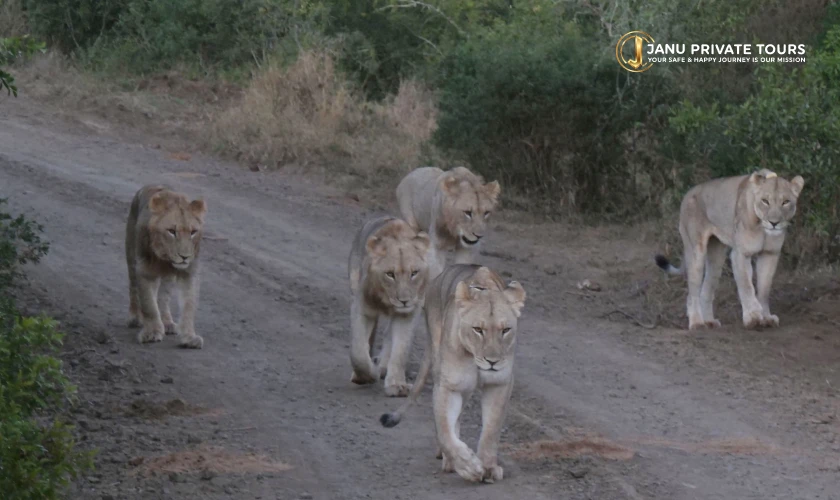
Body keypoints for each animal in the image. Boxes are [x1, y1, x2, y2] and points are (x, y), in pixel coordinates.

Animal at [125, 184, 207, 349]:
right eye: (172, 231)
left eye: (193, 232)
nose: (184, 257)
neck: (165, 260)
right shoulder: (144, 271)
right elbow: (149, 305)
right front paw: (152, 332)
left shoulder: (189, 274)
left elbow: (189, 306)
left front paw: (189, 337)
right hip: (131, 257)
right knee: (133, 288)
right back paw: (135, 317)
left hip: (168, 278)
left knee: (163, 298)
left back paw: (167, 322)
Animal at [348, 215, 432, 397]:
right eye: (390, 274)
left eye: (414, 273)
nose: (404, 300)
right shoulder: (362, 307)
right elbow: (358, 350)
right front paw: (365, 375)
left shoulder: (408, 314)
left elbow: (400, 350)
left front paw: (397, 385)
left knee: (388, 336)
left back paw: (383, 366)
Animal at [379, 264, 526, 484]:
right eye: (478, 329)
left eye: (506, 330)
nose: (492, 361)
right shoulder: (448, 385)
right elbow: (445, 431)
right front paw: (468, 466)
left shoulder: (499, 384)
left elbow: (491, 430)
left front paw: (488, 467)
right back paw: (448, 460)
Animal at [655, 169, 804, 330]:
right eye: (765, 201)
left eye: (785, 202)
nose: (774, 223)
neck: (763, 228)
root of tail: (688, 192)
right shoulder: (740, 254)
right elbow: (746, 286)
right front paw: (753, 317)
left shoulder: (770, 254)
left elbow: (764, 288)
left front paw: (766, 317)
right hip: (695, 251)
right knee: (692, 292)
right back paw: (697, 323)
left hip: (716, 256)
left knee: (706, 289)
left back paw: (709, 321)